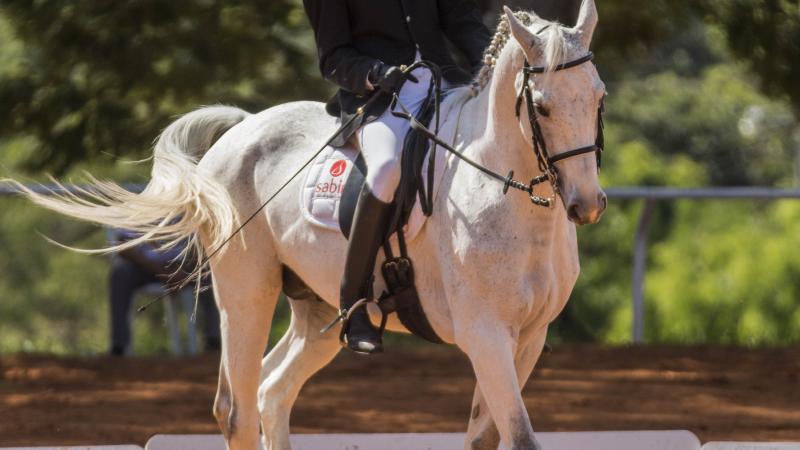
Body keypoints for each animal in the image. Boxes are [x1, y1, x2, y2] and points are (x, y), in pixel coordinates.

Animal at [6, 1, 608, 448]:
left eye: (599, 98)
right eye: (542, 107)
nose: (587, 205)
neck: (506, 198)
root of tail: (243, 128)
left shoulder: (527, 338)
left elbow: (487, 437)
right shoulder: (485, 335)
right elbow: (521, 437)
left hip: (318, 309)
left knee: (273, 393)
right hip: (244, 292)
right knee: (236, 410)